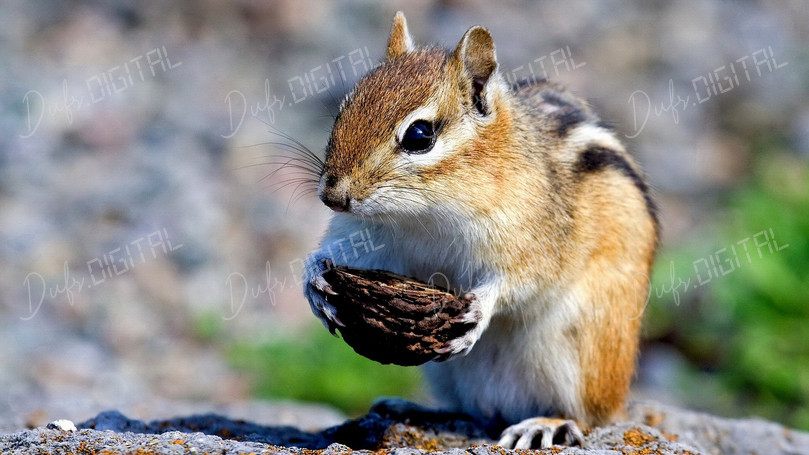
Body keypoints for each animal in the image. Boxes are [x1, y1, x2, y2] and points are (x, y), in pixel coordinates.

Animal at [302, 12, 658, 449]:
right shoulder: (367, 237)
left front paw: (480, 309)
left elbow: (522, 280)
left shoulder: (534, 238)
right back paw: (413, 409)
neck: (423, 214)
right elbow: (331, 254)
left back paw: (546, 423)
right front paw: (315, 281)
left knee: (590, 417)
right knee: (471, 413)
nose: (332, 196)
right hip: (444, 373)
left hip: (579, 353)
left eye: (419, 135)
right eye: (343, 109)